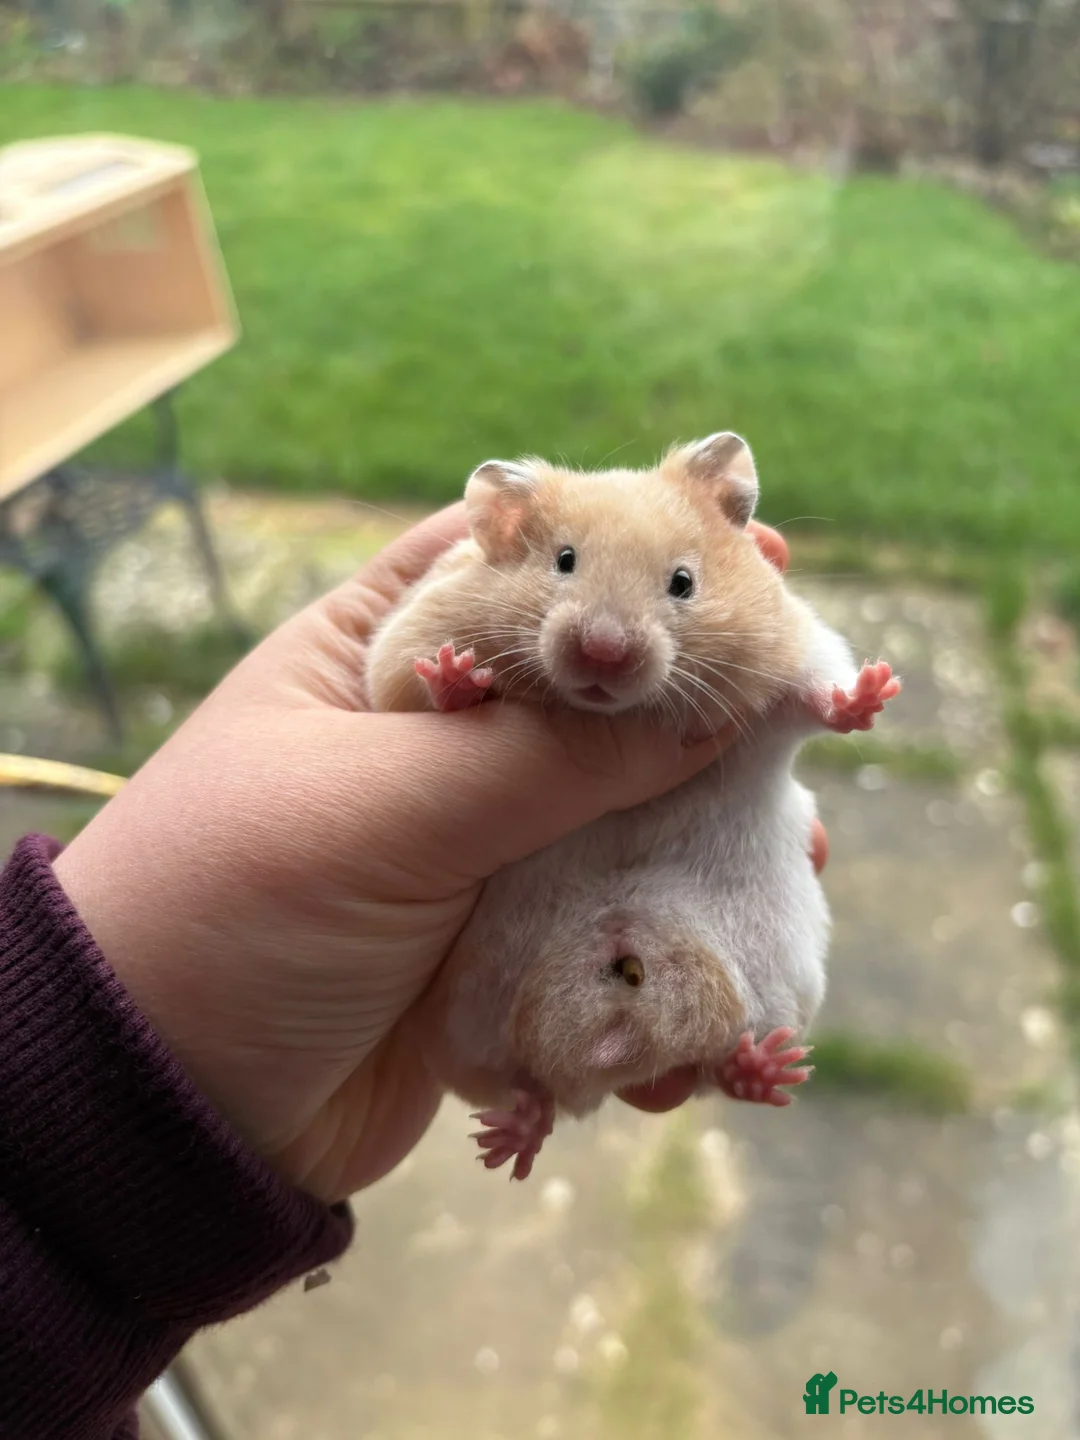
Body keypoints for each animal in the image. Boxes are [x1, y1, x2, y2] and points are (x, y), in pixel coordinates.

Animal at [366, 433, 900, 1179]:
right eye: (564, 561)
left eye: (682, 582)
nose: (604, 652)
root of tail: (617, 1038)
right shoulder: (399, 648)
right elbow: (419, 688)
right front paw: (458, 672)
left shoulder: (793, 650)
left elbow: (816, 698)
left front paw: (875, 690)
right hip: (470, 1023)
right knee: (532, 1083)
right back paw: (510, 1142)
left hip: (777, 986)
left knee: (713, 1064)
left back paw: (766, 1071)